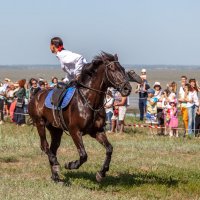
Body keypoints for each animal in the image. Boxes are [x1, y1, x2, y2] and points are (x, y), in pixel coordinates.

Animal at [28, 52, 141, 183]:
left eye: (122, 69)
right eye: (112, 69)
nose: (127, 88)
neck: (89, 101)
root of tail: (36, 94)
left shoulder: (97, 131)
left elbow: (109, 149)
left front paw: (101, 173)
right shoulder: (75, 131)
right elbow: (83, 155)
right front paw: (70, 165)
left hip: (56, 129)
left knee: (53, 148)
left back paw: (56, 176)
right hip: (40, 123)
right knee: (45, 146)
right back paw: (56, 164)